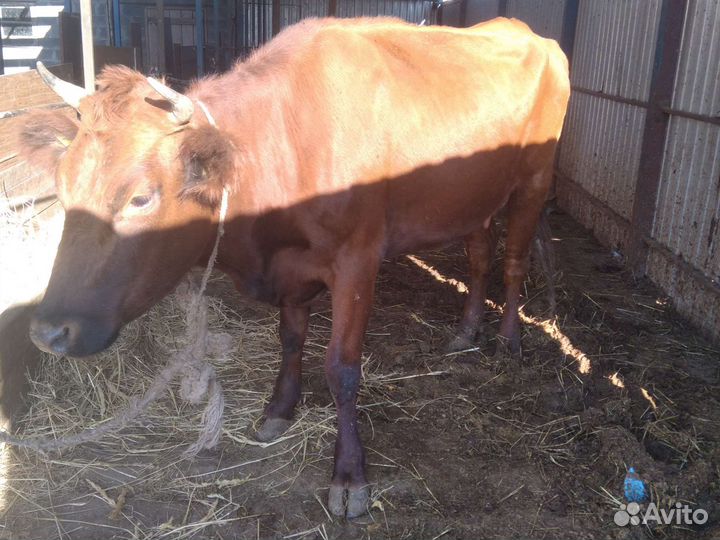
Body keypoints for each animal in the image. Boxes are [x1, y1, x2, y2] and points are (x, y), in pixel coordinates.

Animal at [17, 17, 569, 517]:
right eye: (62, 185)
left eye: (140, 197)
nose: (47, 332)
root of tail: (525, 30)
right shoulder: (291, 268)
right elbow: (290, 339)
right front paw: (278, 410)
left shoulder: (356, 262)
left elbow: (342, 368)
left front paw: (349, 476)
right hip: (474, 198)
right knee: (479, 256)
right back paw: (467, 330)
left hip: (534, 180)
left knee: (514, 263)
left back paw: (507, 341)